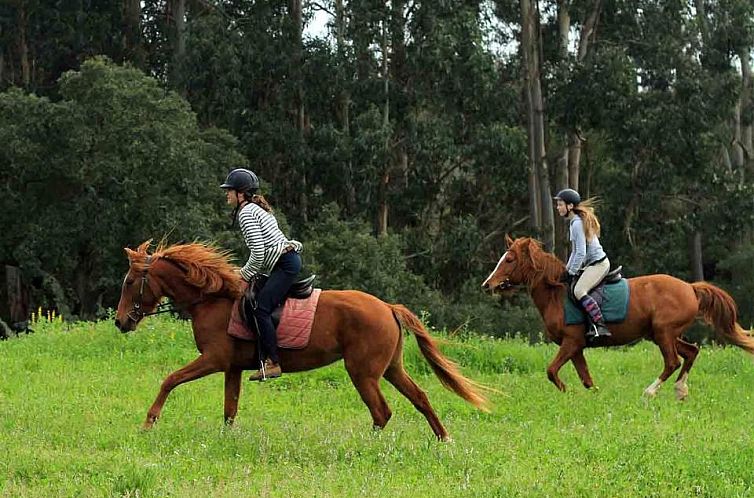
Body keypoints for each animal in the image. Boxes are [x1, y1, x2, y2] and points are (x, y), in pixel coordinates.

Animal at [111, 241, 488, 440]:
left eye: (129, 282)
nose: (119, 321)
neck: (211, 299)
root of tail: (387, 307)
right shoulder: (231, 367)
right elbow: (229, 409)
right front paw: (227, 439)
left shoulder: (213, 360)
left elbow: (170, 380)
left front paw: (148, 422)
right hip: (391, 368)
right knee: (420, 398)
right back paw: (443, 439)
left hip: (362, 372)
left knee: (382, 411)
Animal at [482, 235, 752, 398]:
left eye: (509, 259)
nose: (487, 285)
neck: (555, 294)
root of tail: (690, 288)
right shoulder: (576, 347)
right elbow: (586, 378)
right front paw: (593, 395)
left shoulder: (571, 342)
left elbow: (551, 371)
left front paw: (566, 391)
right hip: (661, 333)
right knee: (691, 352)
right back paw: (680, 390)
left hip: (663, 332)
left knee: (672, 361)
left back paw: (650, 392)